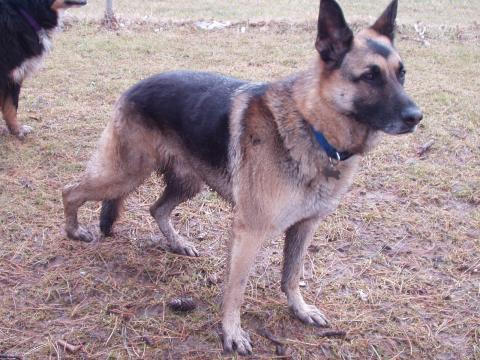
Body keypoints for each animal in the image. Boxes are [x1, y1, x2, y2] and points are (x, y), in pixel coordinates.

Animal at [62, 0, 424, 354]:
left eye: (402, 74)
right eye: (370, 76)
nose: (417, 117)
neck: (313, 126)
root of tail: (133, 87)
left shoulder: (305, 226)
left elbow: (292, 274)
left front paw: (299, 309)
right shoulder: (248, 232)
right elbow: (235, 289)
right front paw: (231, 333)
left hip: (188, 182)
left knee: (157, 209)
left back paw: (177, 243)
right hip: (124, 174)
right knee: (71, 191)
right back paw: (74, 231)